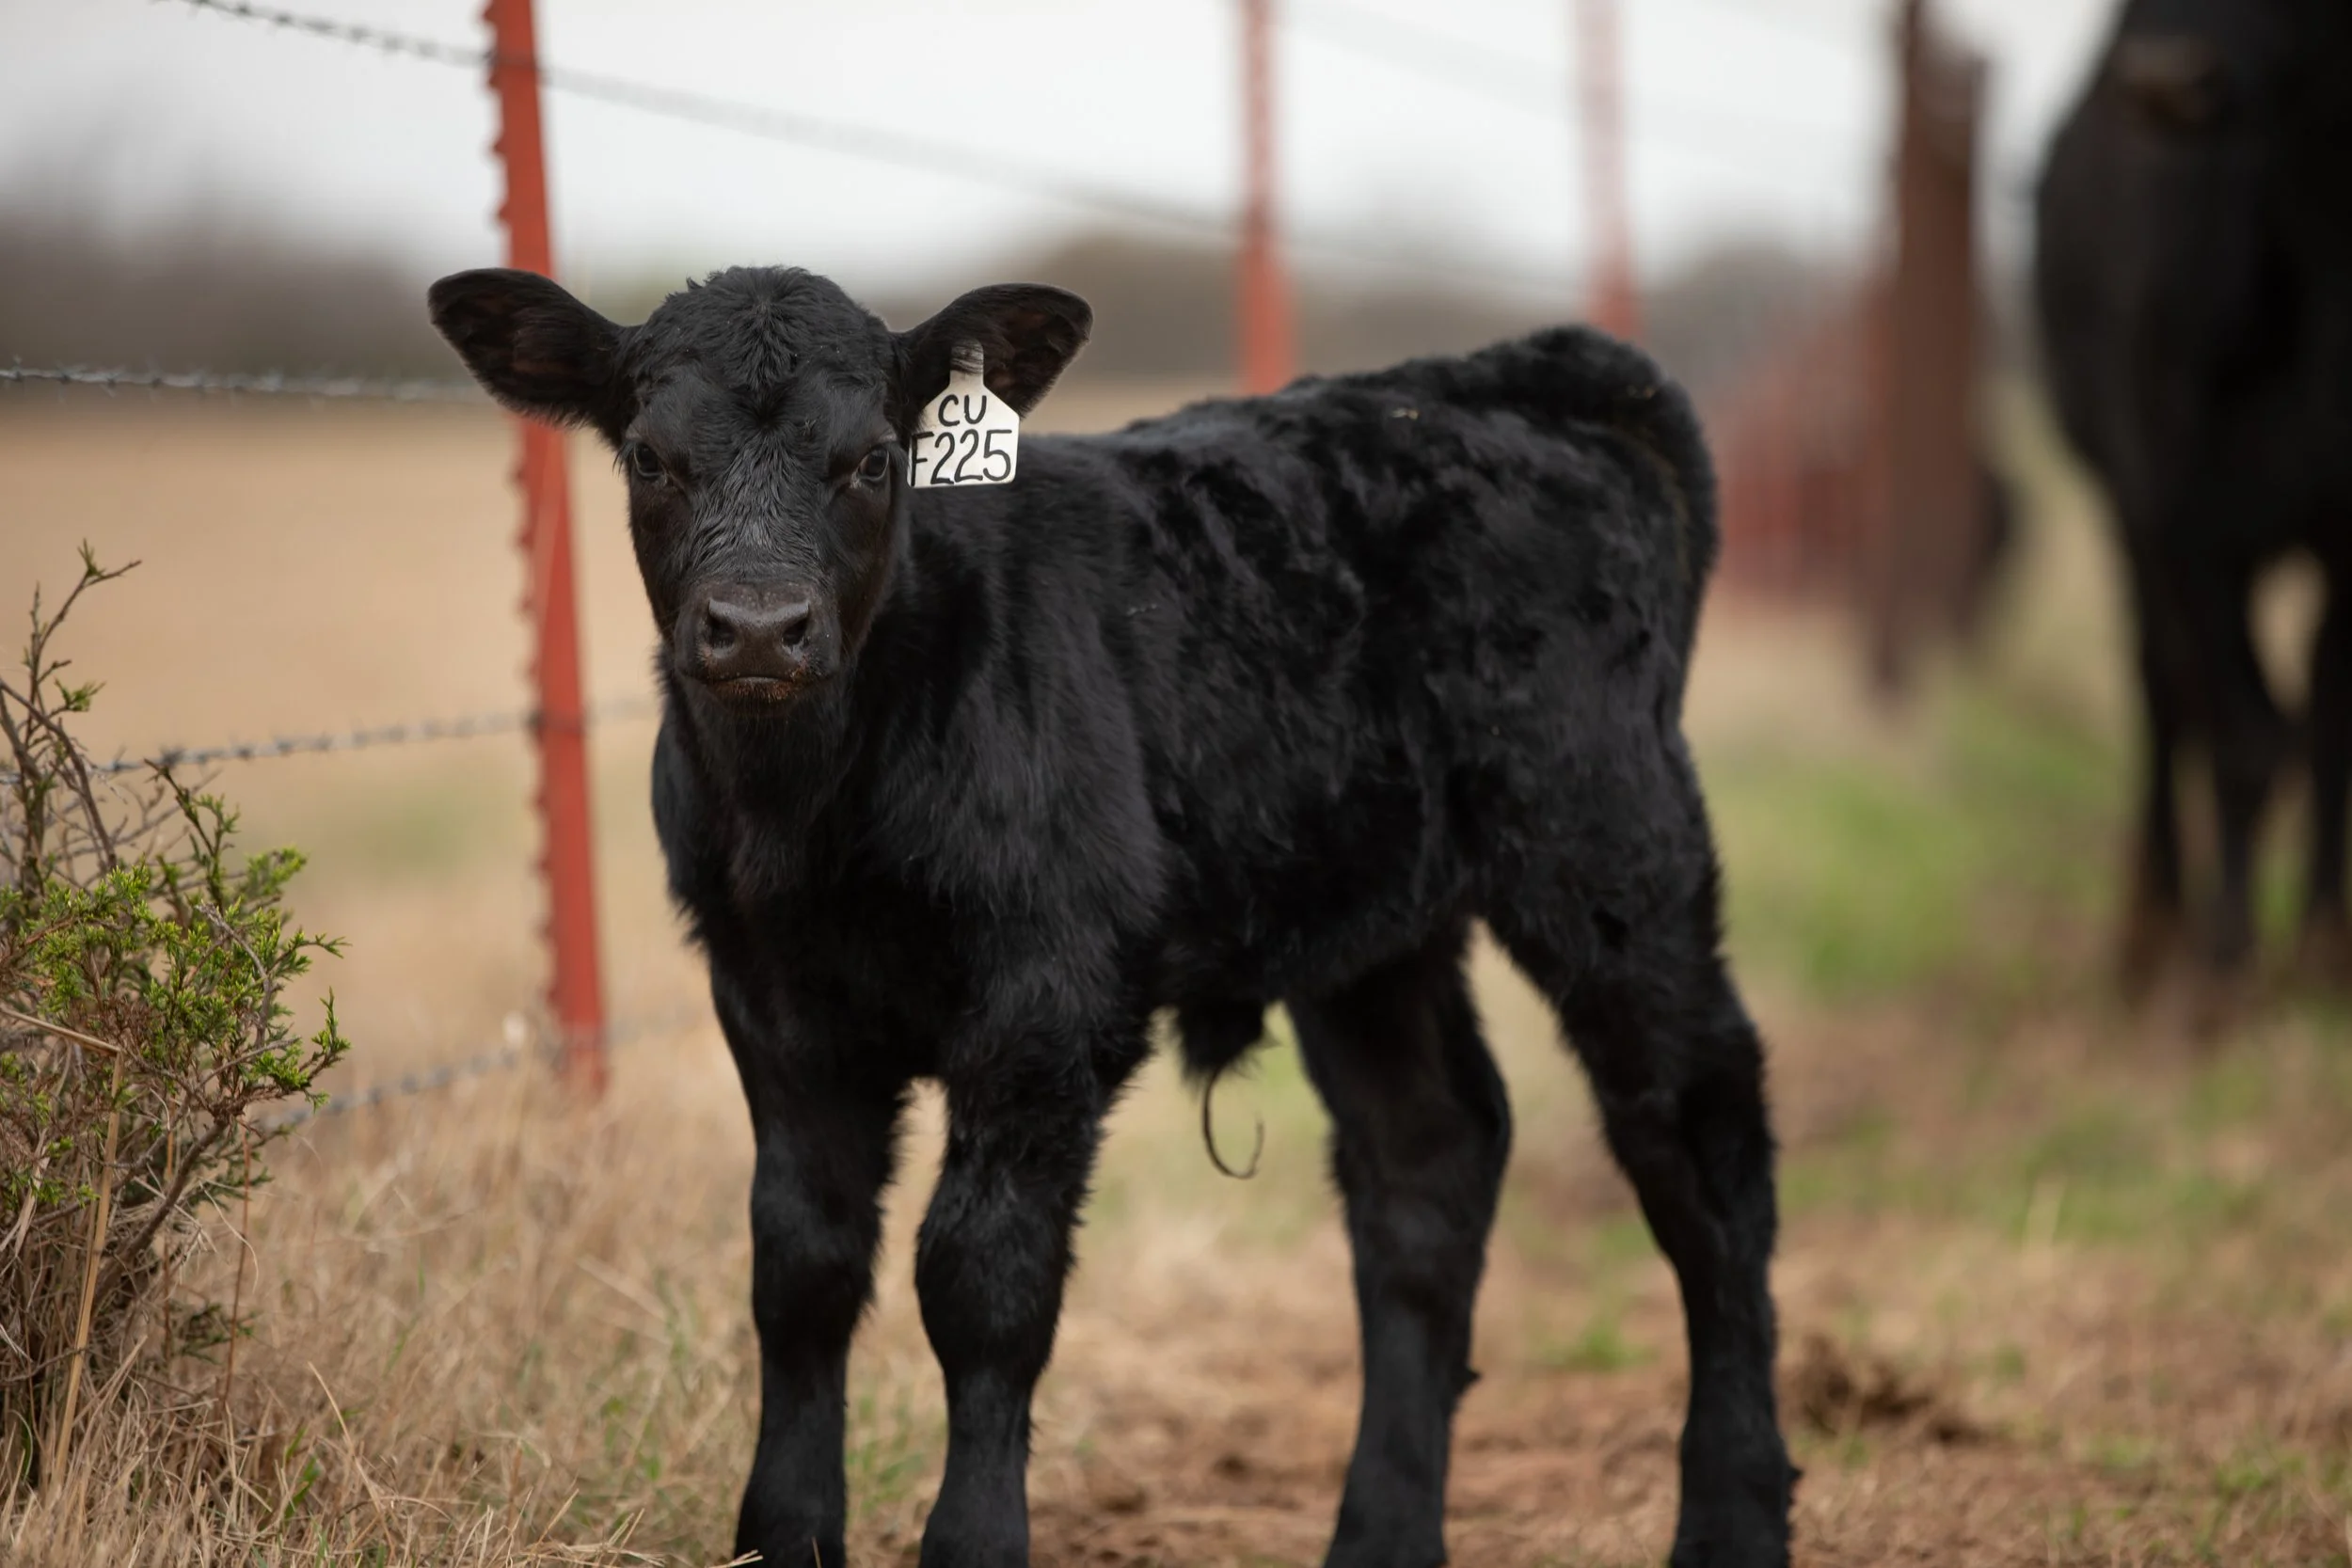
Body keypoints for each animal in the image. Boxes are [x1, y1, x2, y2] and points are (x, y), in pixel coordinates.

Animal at [428, 263, 1793, 1568]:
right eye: (651, 458)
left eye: (872, 457)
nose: (759, 627)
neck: (812, 811)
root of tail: (1498, 374)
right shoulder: (772, 998)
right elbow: (802, 1268)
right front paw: (782, 1536)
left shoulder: (1050, 999)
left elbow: (981, 1277)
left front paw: (975, 1543)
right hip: (1371, 917)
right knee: (1429, 1158)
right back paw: (1380, 1534)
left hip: (1608, 840)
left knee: (1700, 1133)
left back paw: (1733, 1511)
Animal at [2036, 0, 2352, 1005]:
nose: (2168, 74)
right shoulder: (2182, 508)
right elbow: (2242, 733)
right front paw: (2221, 968)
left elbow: (2329, 722)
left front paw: (2326, 947)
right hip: (2125, 512)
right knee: (2162, 689)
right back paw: (2154, 930)